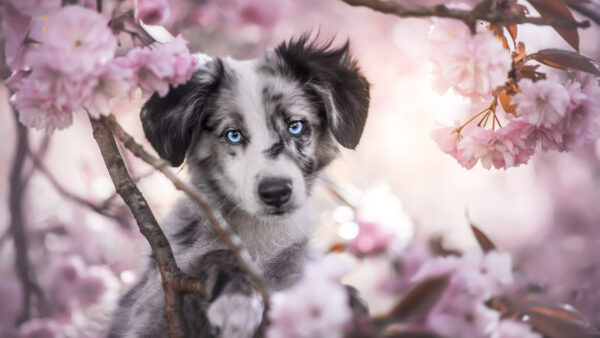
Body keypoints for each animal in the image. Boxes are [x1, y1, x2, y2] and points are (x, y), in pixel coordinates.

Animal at [108, 35, 370, 338]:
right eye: (233, 135)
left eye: (296, 126)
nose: (276, 192)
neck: (260, 235)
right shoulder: (152, 306)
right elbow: (218, 254)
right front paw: (237, 296)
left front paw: (346, 302)